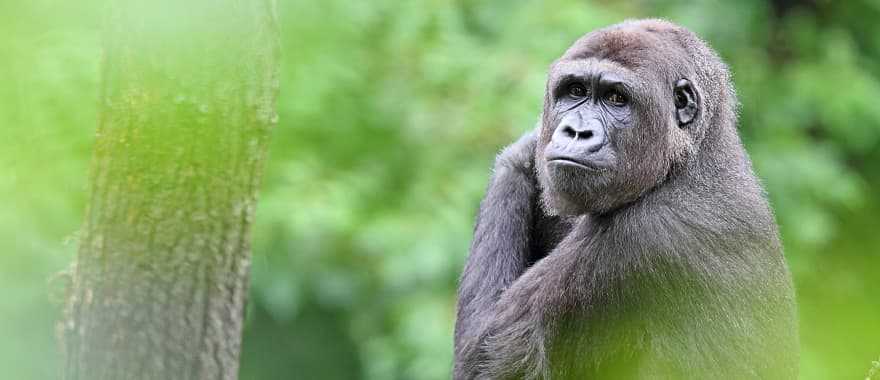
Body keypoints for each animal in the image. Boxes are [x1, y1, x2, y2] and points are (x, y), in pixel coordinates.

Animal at [454, 19, 796, 378]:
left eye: (616, 98)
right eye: (575, 92)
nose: (576, 132)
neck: (691, 157)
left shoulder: (642, 239)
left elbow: (484, 356)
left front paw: (524, 150)